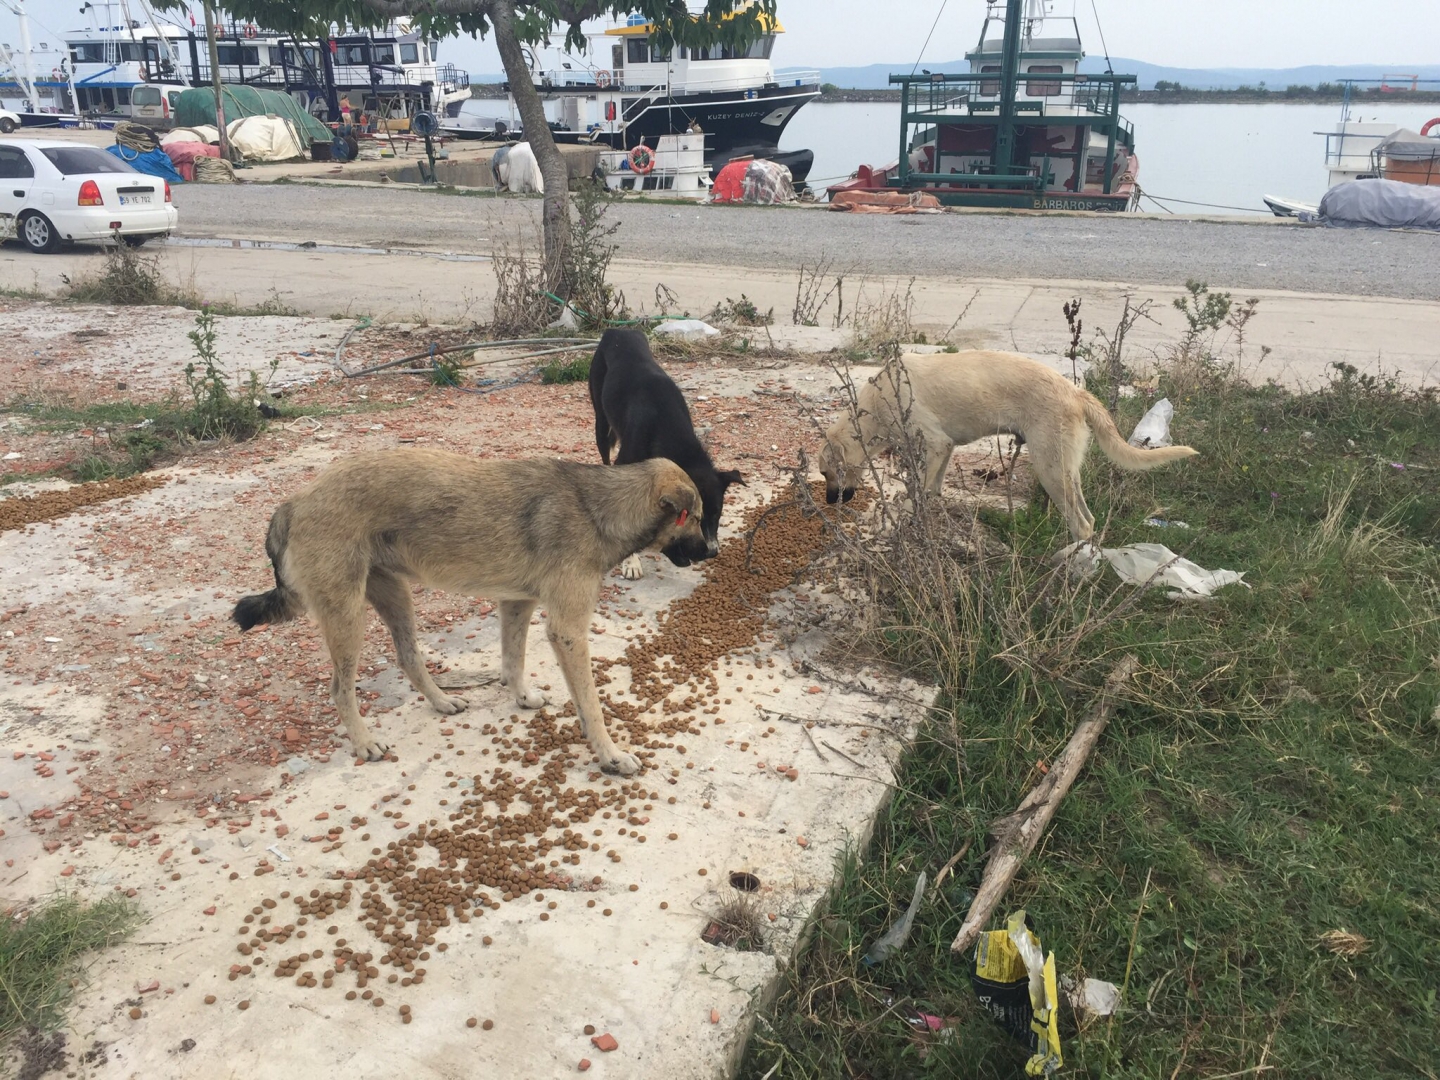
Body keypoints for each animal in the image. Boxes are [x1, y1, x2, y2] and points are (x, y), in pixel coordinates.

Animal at [231, 449, 708, 777]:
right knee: (340, 688)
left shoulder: (517, 603)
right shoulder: (568, 631)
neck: (598, 508)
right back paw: (365, 743)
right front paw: (610, 755)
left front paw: (522, 697)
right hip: (347, 616)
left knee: (409, 657)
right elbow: (591, 705)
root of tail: (294, 502)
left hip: (395, 595)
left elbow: (512, 660)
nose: (713, 551)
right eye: (697, 517)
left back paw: (441, 701)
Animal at [587, 329, 743, 578]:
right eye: (694, 517)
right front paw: (631, 562)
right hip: (601, 420)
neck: (665, 422)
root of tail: (617, 330)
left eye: (717, 514)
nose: (711, 552)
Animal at [817, 352, 1198, 544]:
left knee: (1081, 524)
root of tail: (1076, 391)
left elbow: (914, 496)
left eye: (825, 473)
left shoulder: (935, 443)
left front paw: (899, 523)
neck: (876, 403)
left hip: (1049, 469)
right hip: (1065, 470)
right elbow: (932, 490)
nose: (831, 501)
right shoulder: (945, 450)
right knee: (1089, 519)